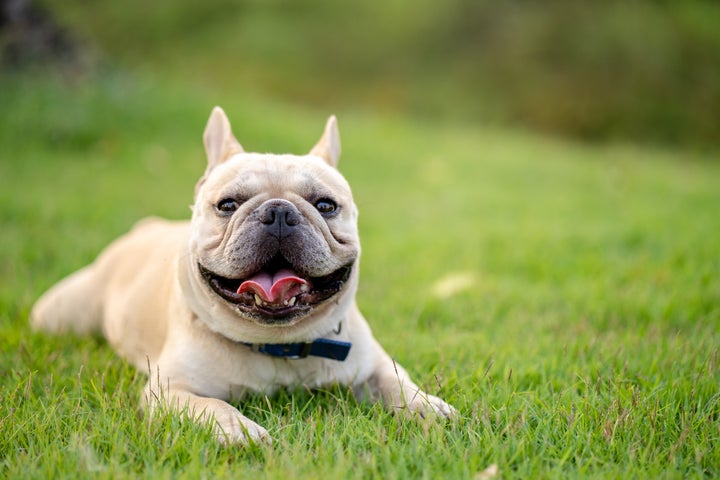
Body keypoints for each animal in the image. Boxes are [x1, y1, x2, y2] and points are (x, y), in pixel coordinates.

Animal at [31, 107, 456, 444]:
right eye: (227, 205)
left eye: (325, 205)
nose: (279, 212)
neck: (278, 346)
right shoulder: (170, 391)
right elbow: (210, 406)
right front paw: (239, 430)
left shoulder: (372, 365)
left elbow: (397, 382)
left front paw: (428, 406)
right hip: (60, 314)